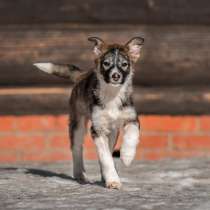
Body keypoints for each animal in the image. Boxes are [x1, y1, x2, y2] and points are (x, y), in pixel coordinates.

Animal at [33, 37, 144, 189]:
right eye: (106, 63)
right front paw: (113, 180)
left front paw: (127, 156)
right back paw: (80, 174)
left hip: (112, 132)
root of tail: (82, 75)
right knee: (77, 149)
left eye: (125, 64)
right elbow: (105, 158)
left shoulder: (131, 118)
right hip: (78, 124)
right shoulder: (97, 129)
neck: (112, 95)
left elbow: (131, 136)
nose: (115, 76)